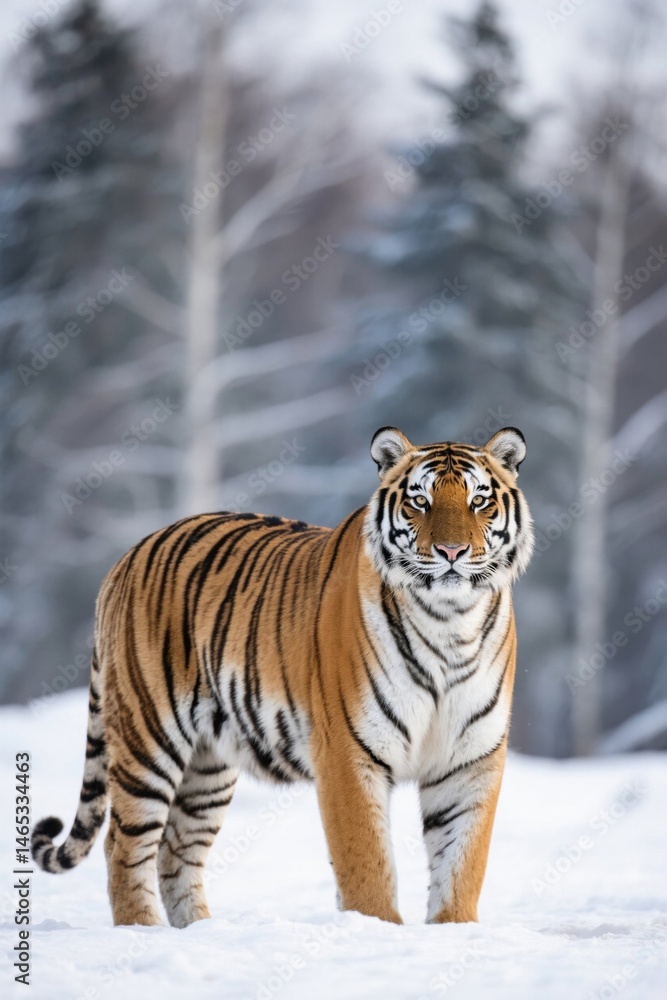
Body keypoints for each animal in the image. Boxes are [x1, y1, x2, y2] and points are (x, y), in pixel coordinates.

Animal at [32, 425, 534, 928]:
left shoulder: (470, 758)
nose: (452, 552)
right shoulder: (350, 751)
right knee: (124, 844)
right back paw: (145, 931)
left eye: (479, 501)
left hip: (208, 763)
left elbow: (463, 861)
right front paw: (376, 928)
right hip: (148, 737)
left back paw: (199, 931)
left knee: (176, 850)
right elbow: (366, 863)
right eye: (420, 502)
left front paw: (454, 930)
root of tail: (126, 558)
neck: (450, 622)